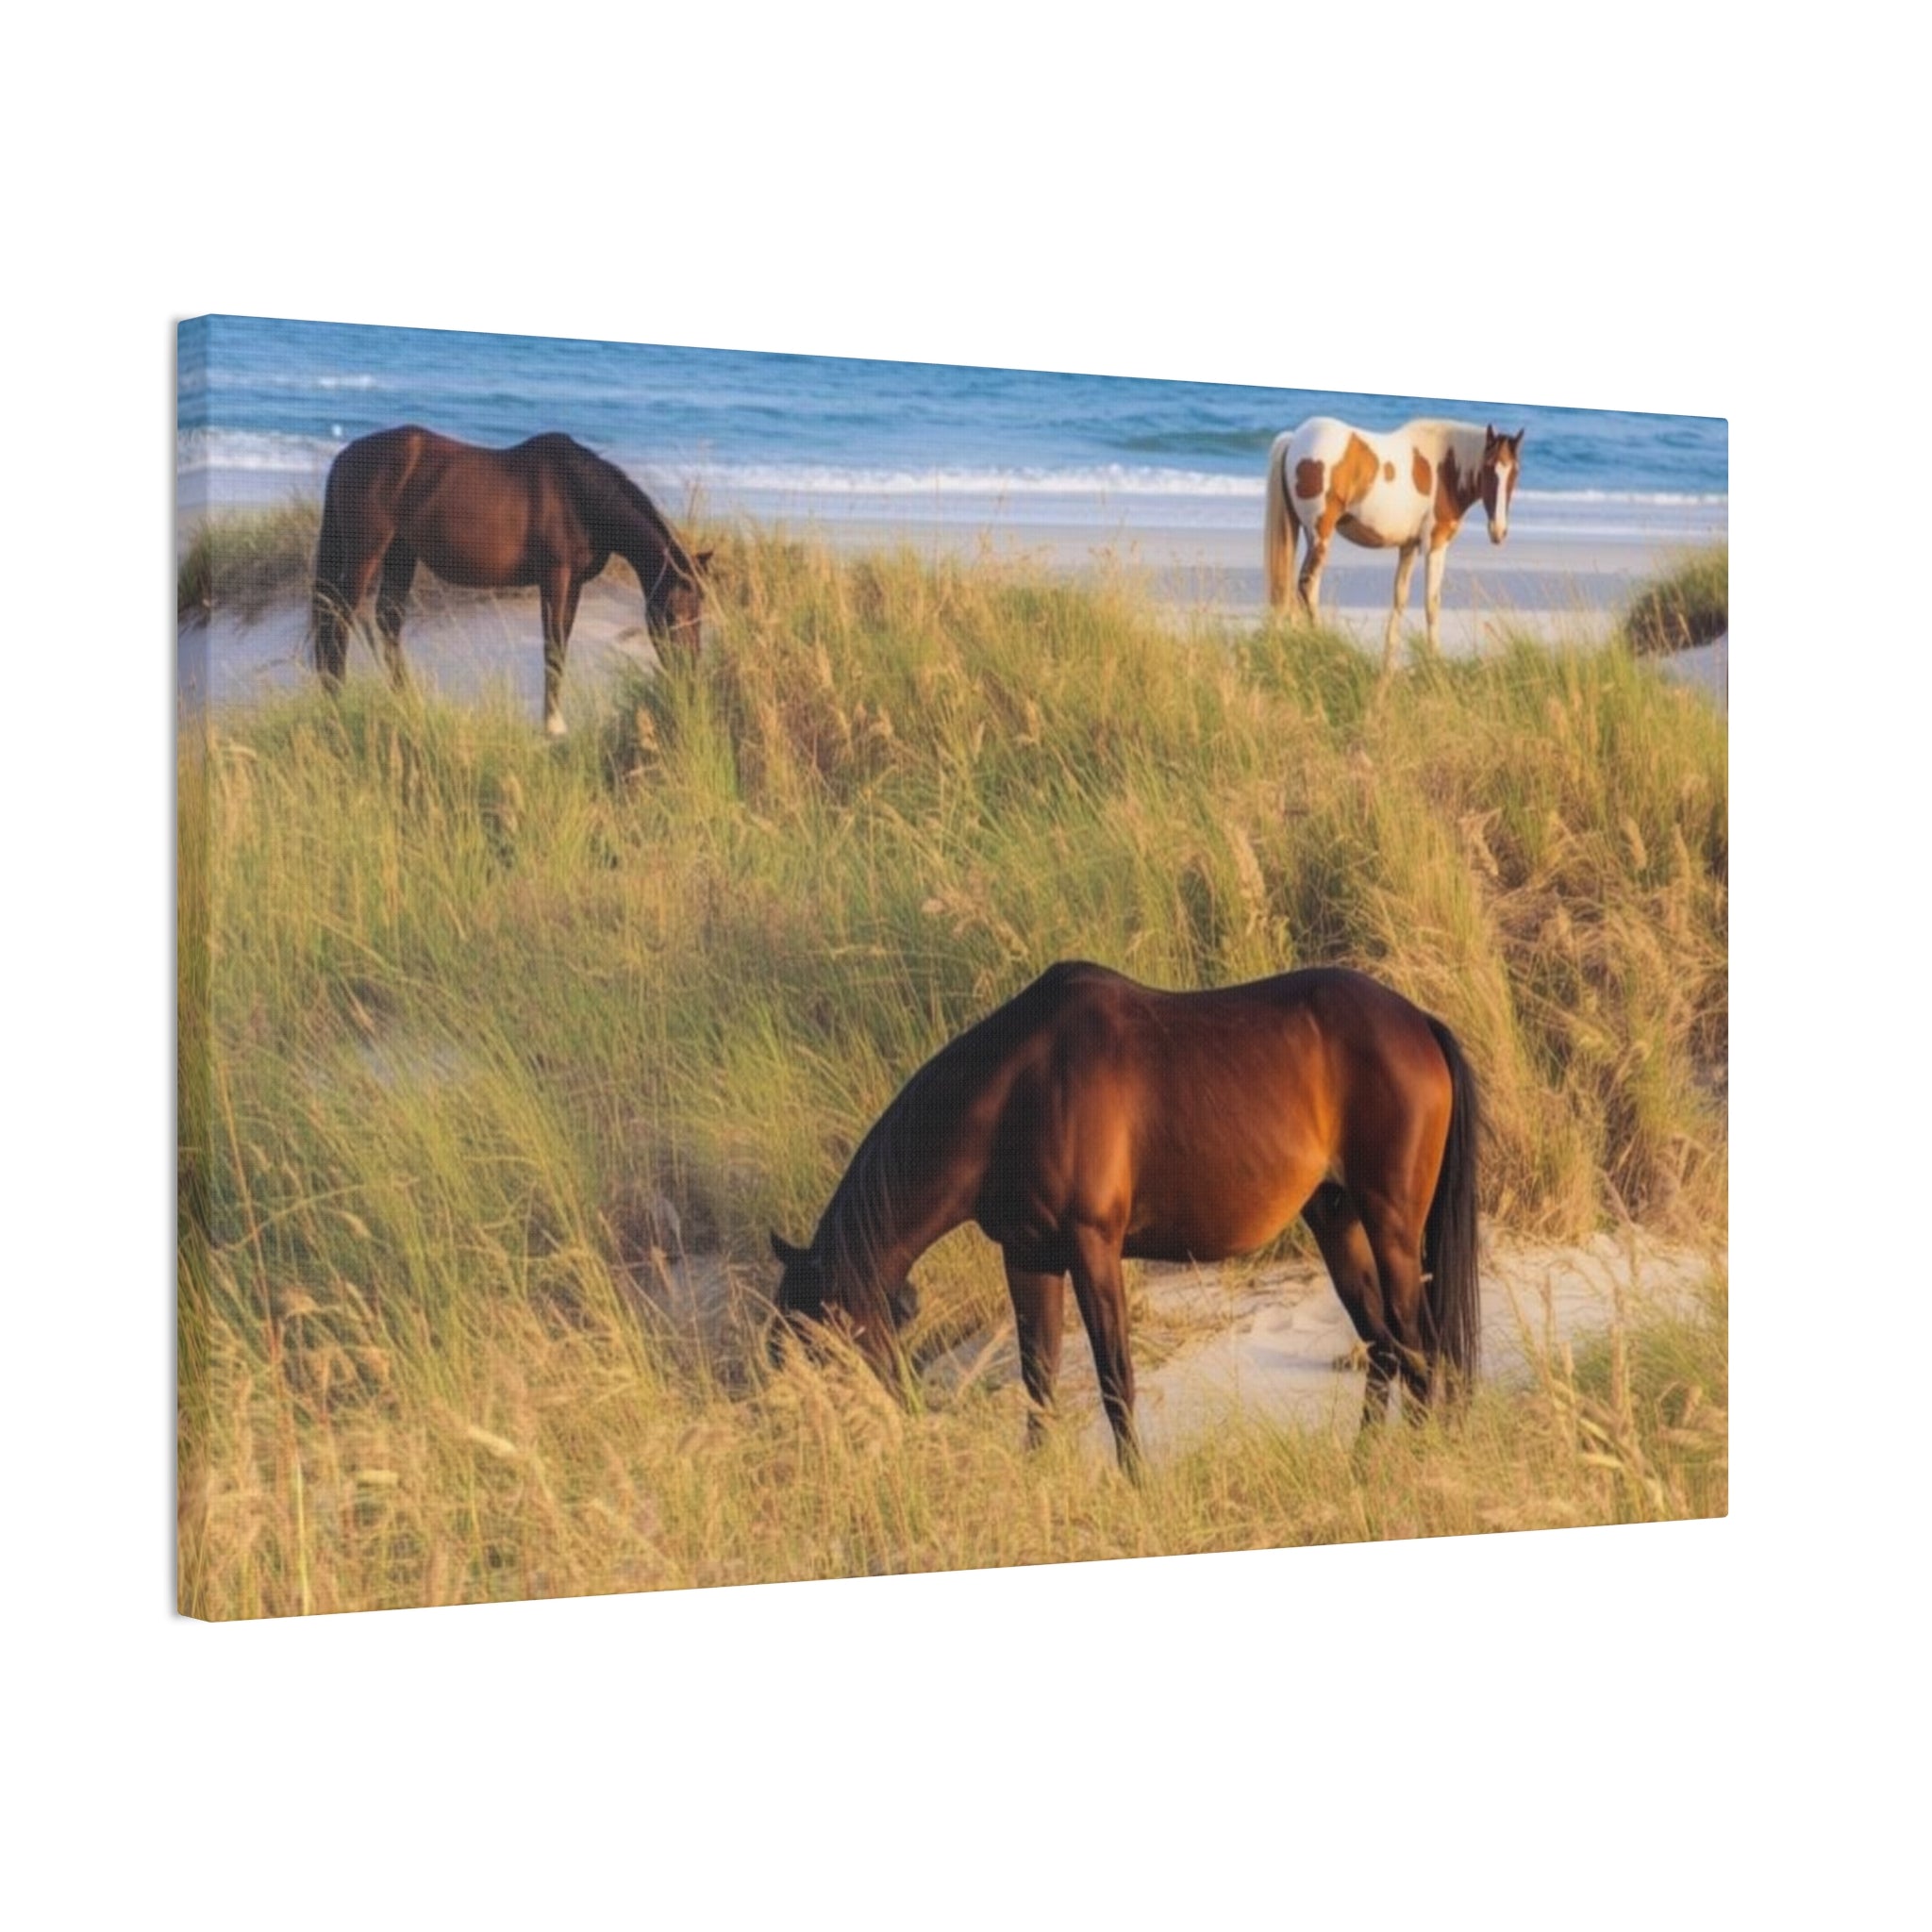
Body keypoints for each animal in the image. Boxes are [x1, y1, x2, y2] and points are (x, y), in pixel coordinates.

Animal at [310, 427, 711, 736]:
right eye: (672, 613)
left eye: (699, 614)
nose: (690, 676)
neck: (579, 496)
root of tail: (346, 455)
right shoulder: (554, 576)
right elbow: (552, 644)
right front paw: (551, 725)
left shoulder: (575, 583)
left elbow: (562, 645)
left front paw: (556, 720)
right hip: (366, 553)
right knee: (337, 620)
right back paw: (335, 701)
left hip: (400, 553)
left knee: (388, 620)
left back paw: (405, 701)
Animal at [768, 961, 1481, 1472]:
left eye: (816, 1346)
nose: (802, 1454)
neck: (1015, 1095)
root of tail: (1418, 1022)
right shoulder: (1029, 1258)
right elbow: (1039, 1381)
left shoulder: (1093, 1249)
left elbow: (1115, 1380)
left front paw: (1136, 1485)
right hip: (1336, 1221)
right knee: (1386, 1345)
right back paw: (1364, 1467)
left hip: (1392, 1227)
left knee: (1418, 1345)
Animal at [1264, 419, 1524, 668]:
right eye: (1489, 467)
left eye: (1515, 472)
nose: (1498, 531)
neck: (1444, 468)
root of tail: (1294, 439)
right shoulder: (1436, 545)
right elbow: (1432, 603)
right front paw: (1435, 660)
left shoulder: (1408, 547)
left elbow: (1400, 598)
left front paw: (1389, 660)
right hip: (1320, 536)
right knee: (1308, 585)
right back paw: (1320, 644)